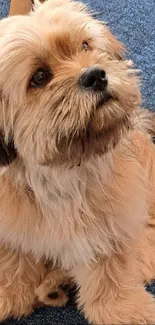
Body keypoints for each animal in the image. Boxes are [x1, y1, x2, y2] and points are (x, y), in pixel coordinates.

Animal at [0, 0, 155, 322]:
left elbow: (111, 271)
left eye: (85, 46)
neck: (64, 169)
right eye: (40, 77)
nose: (95, 75)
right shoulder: (9, 220)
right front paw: (9, 293)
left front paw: (125, 309)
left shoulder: (110, 219)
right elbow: (13, 257)